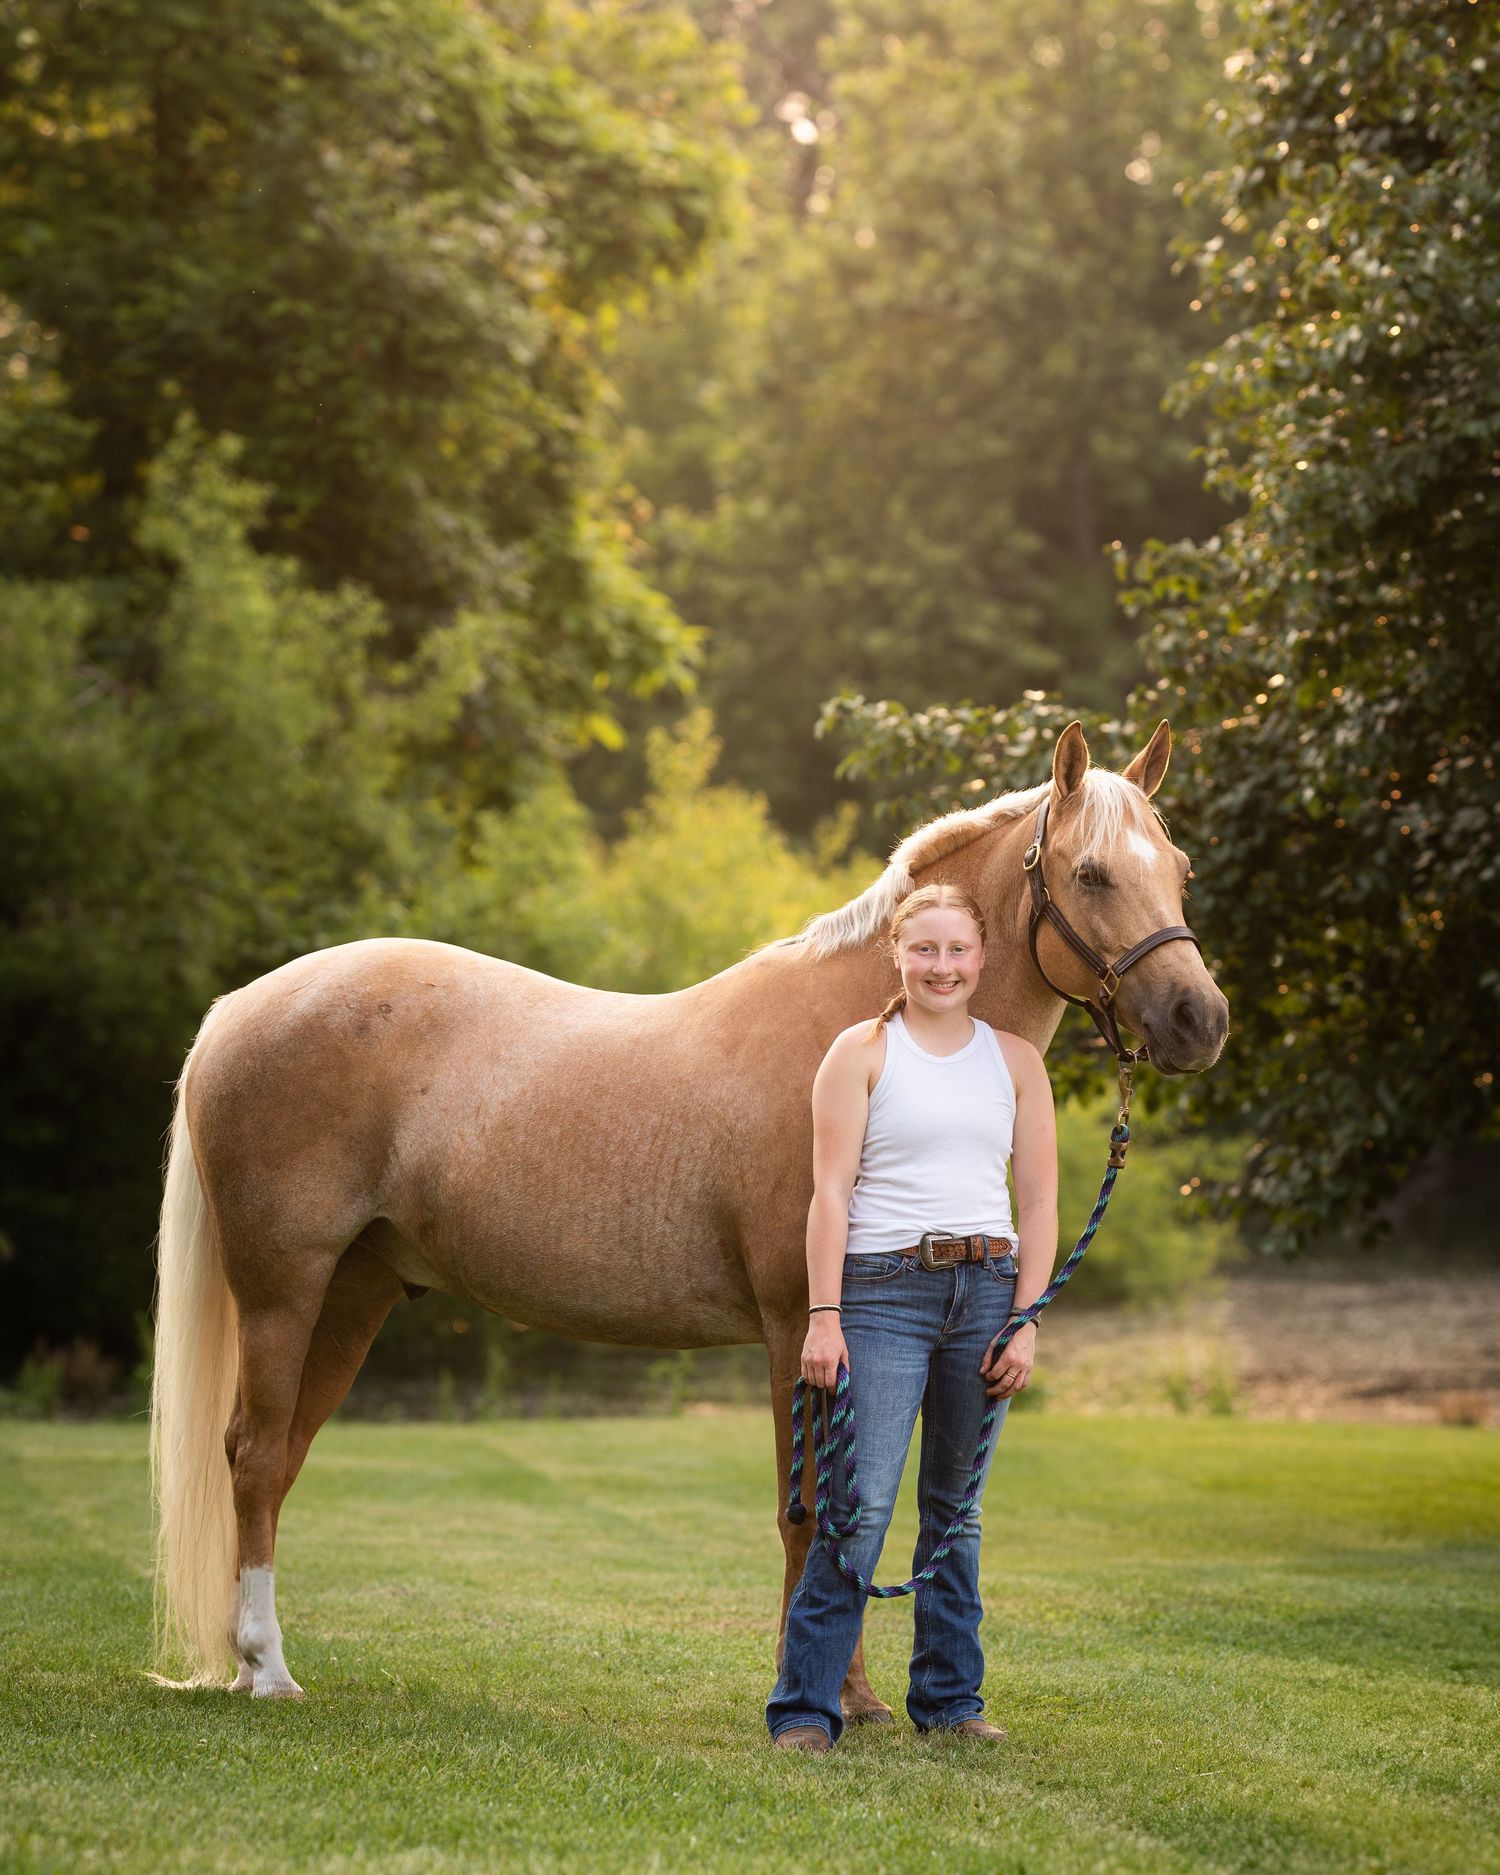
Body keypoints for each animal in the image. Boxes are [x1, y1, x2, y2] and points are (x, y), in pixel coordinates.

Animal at [150, 718, 1228, 1707]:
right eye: (1091, 873)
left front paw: (854, 1698)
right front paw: (827, 1699)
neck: (859, 1038)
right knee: (254, 1457)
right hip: (285, 1288)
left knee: (280, 1457)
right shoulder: (803, 1327)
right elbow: (813, 1513)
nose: (1200, 1021)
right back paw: (267, 1671)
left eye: (1177, 869)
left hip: (357, 1290)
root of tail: (237, 1010)